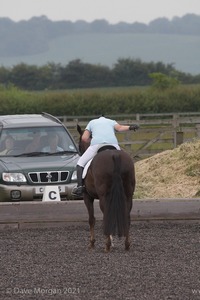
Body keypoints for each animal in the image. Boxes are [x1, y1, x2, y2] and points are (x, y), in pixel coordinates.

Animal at [76, 123, 136, 252]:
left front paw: (92, 243)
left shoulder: (87, 196)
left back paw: (107, 245)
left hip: (104, 196)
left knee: (106, 215)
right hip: (128, 194)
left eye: (79, 145)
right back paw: (126, 244)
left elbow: (91, 219)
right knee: (127, 216)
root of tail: (114, 155)